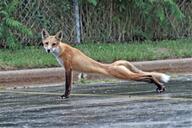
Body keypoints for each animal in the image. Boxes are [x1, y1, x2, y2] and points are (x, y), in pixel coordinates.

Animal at [41, 29, 170, 98]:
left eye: (54, 44)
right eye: (46, 43)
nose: (48, 50)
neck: (61, 50)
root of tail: (113, 64)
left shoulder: (68, 69)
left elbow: (67, 86)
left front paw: (65, 96)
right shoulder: (69, 69)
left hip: (125, 75)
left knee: (149, 75)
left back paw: (160, 86)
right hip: (128, 76)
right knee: (147, 77)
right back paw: (160, 87)